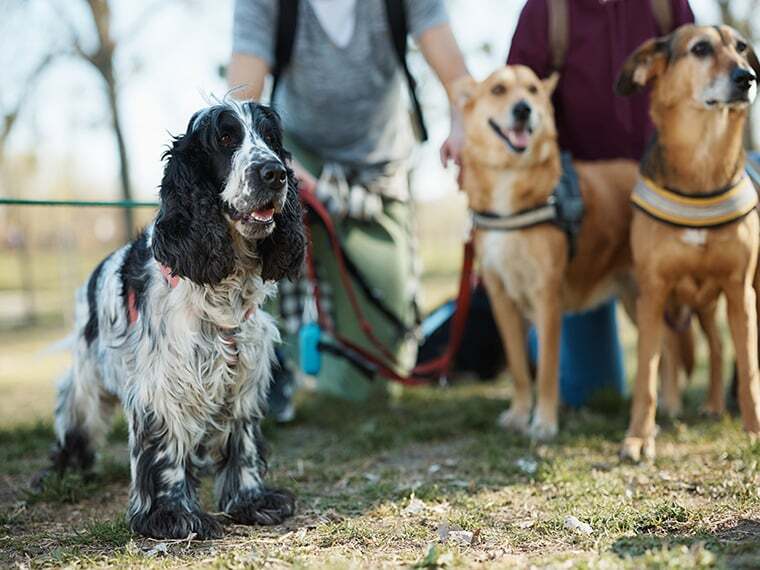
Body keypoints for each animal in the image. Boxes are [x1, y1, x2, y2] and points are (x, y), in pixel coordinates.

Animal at [458, 67, 640, 440]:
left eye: (532, 90)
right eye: (498, 89)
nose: (523, 110)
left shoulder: (547, 298)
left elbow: (545, 371)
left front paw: (543, 422)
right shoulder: (501, 298)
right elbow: (518, 369)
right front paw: (518, 414)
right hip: (637, 299)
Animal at [616, 25, 760, 462]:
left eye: (742, 47)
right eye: (700, 49)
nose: (748, 78)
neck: (701, 164)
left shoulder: (740, 291)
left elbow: (749, 368)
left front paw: (754, 430)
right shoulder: (653, 294)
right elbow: (647, 375)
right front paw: (637, 438)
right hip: (697, 305)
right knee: (709, 346)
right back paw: (706, 405)